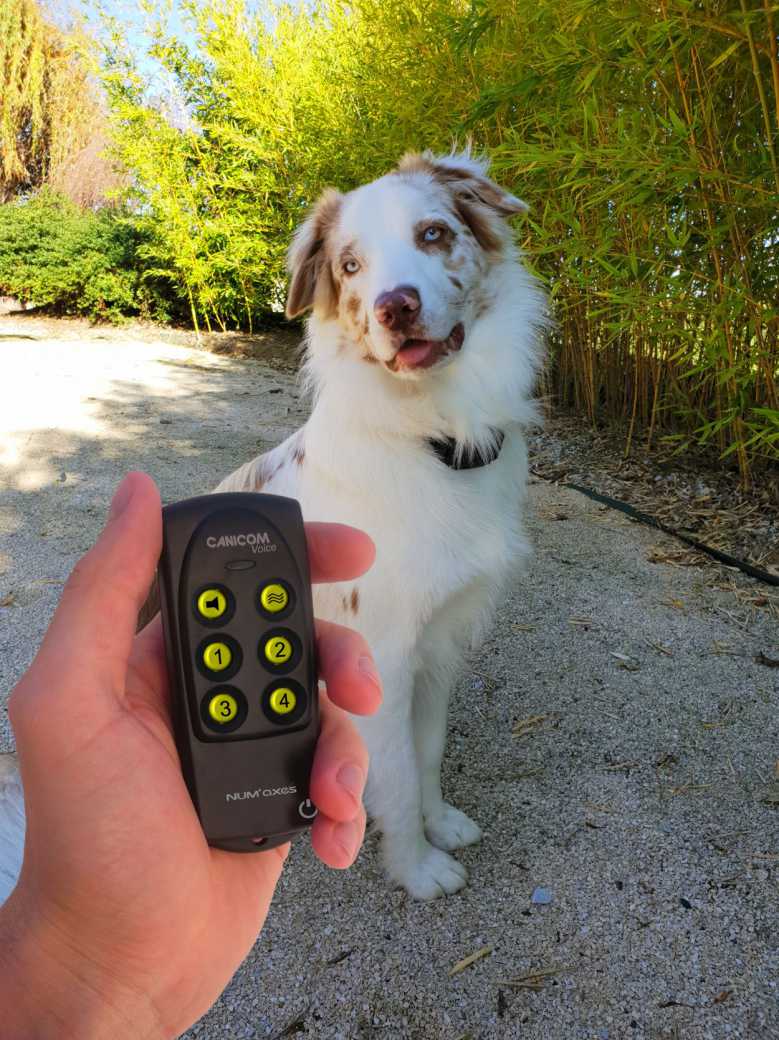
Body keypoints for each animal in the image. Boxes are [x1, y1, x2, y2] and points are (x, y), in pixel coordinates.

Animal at [215, 150, 544, 898]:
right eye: (350, 266)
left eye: (432, 233)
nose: (396, 306)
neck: (432, 436)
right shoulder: (384, 658)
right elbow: (394, 773)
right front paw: (417, 867)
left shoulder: (439, 644)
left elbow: (427, 752)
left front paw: (440, 823)